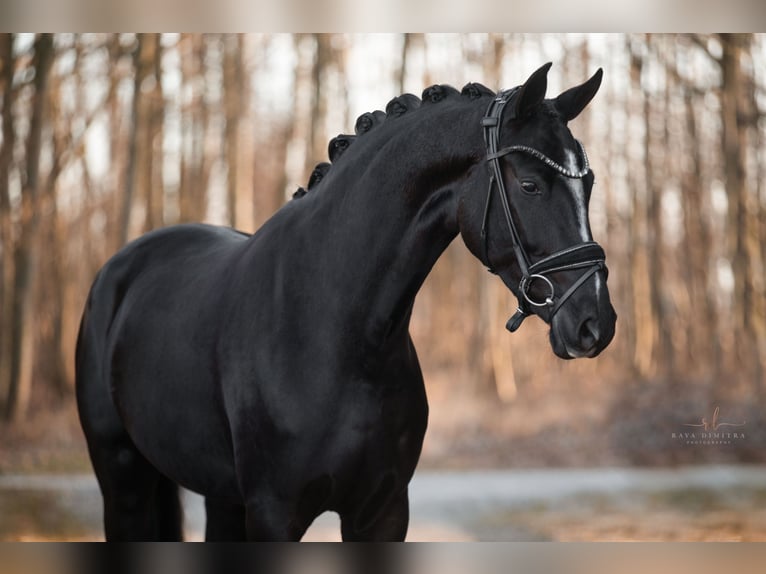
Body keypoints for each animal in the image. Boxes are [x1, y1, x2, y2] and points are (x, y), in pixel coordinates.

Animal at [76, 65, 616, 544]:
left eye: (588, 185)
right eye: (529, 184)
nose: (596, 323)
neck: (337, 333)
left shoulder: (382, 511)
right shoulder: (274, 514)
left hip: (220, 496)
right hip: (123, 481)